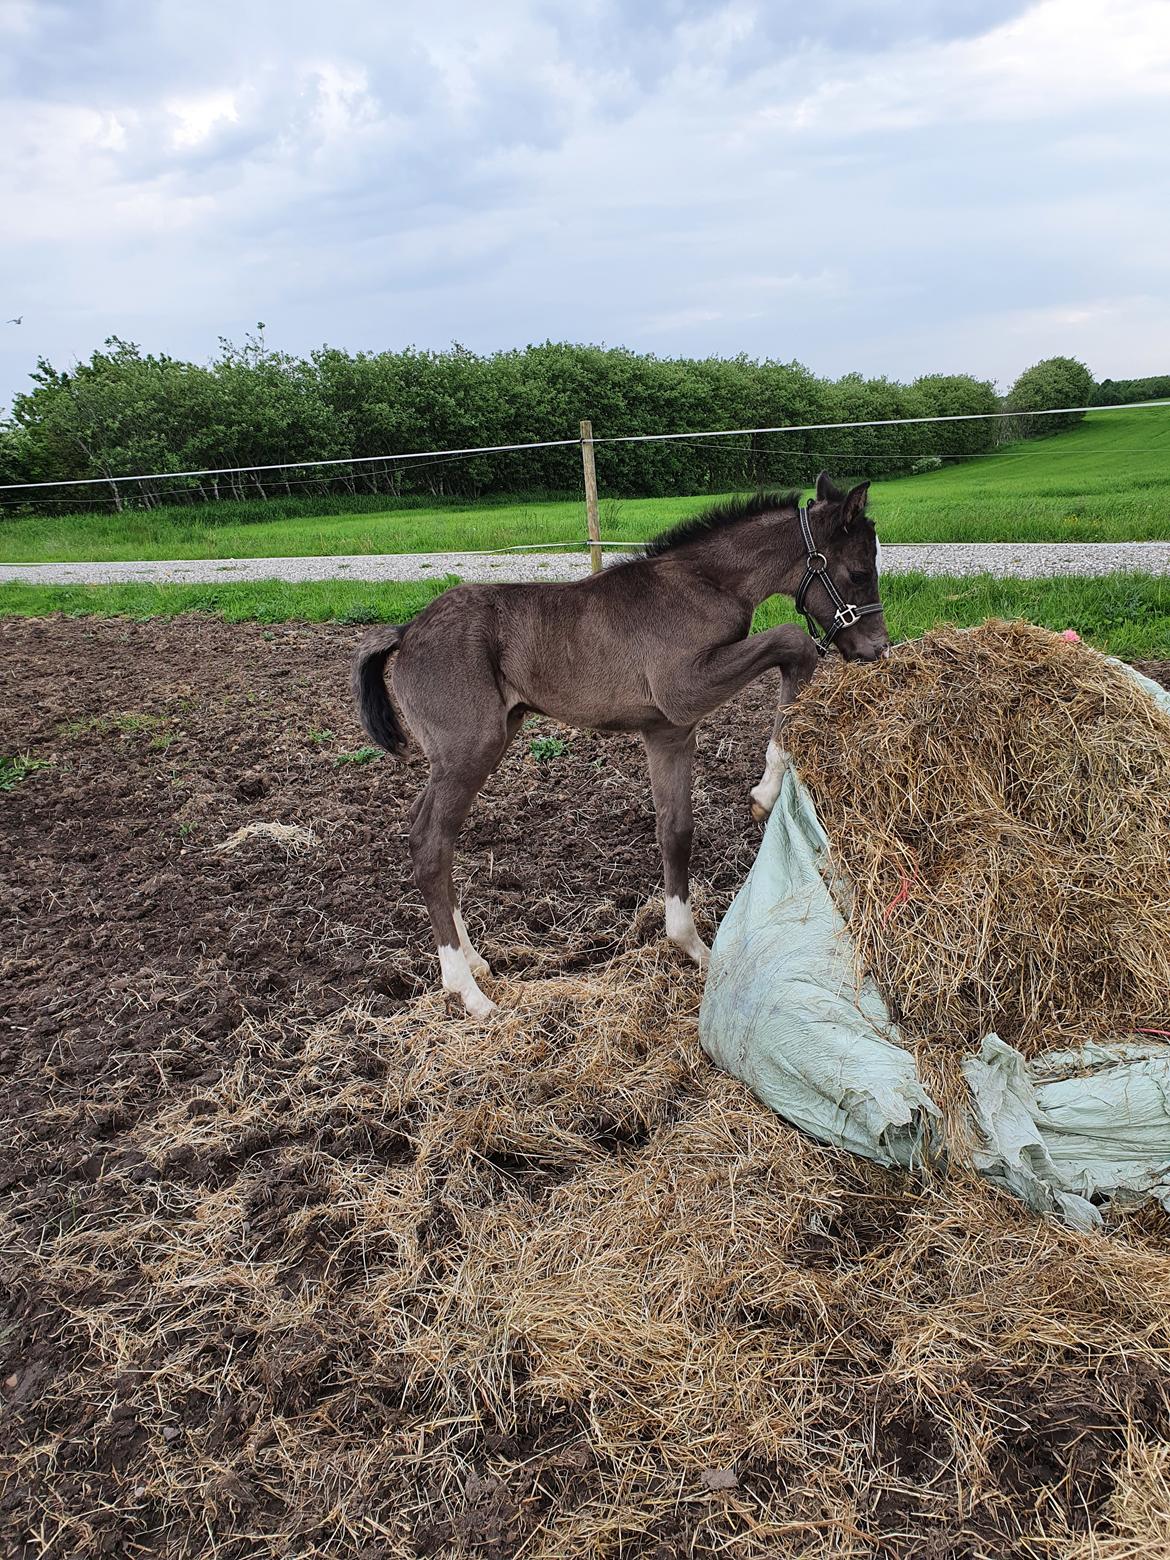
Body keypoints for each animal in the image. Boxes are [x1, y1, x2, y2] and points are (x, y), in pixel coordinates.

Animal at [352, 471, 886, 1010]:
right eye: (860, 571)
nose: (877, 648)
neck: (703, 584)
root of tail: (406, 631)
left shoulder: (668, 731)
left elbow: (676, 831)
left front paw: (695, 948)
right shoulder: (684, 690)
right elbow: (794, 641)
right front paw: (765, 793)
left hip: (485, 742)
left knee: (427, 829)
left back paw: (475, 960)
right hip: (470, 748)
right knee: (429, 842)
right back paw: (468, 990)